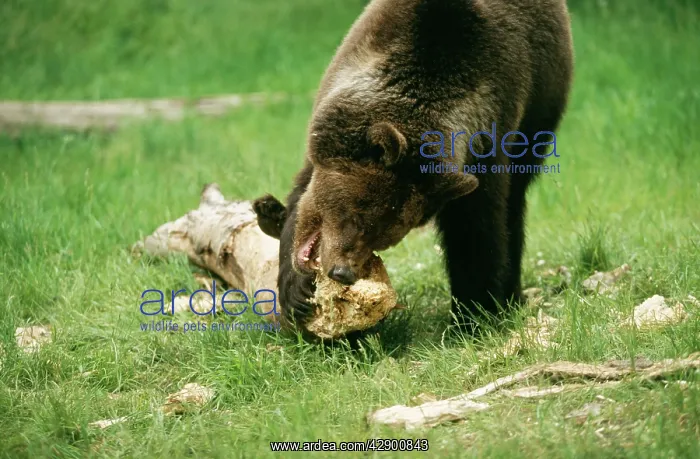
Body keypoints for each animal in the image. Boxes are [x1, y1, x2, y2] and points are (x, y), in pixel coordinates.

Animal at [274, 0, 574, 332]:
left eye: (383, 237)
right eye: (354, 215)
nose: (342, 272)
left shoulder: (488, 147)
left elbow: (477, 233)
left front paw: (475, 313)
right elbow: (302, 192)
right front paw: (296, 290)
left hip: (541, 109)